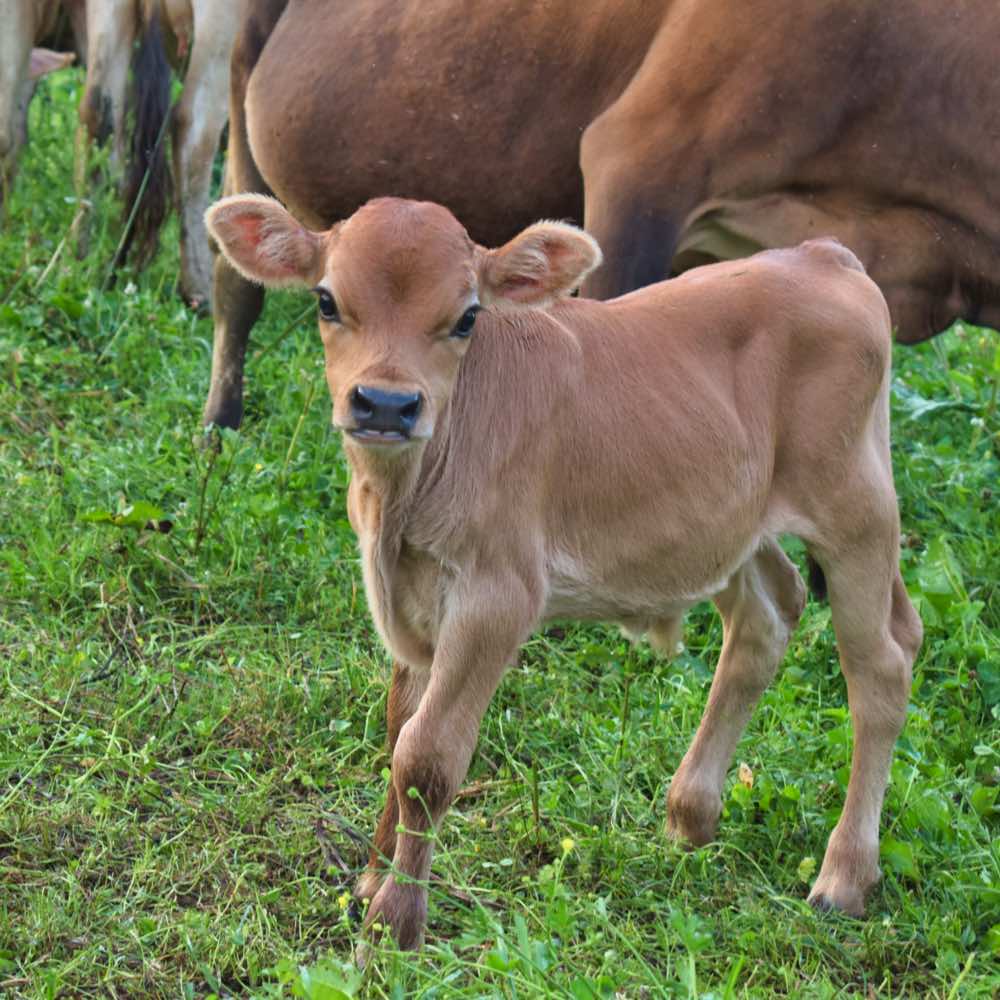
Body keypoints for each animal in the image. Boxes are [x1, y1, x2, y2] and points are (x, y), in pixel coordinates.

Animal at [75, 0, 243, 307]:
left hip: (110, 13)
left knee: (97, 108)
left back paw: (82, 257)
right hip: (223, 26)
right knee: (194, 129)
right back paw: (200, 288)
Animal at [205, 191, 924, 950]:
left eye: (467, 316)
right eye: (326, 300)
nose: (388, 405)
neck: (397, 511)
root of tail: (824, 256)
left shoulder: (496, 596)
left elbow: (425, 756)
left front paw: (397, 918)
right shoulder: (414, 600)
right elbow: (398, 730)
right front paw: (372, 879)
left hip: (855, 508)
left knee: (880, 668)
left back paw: (844, 875)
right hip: (733, 523)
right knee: (765, 620)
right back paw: (691, 815)